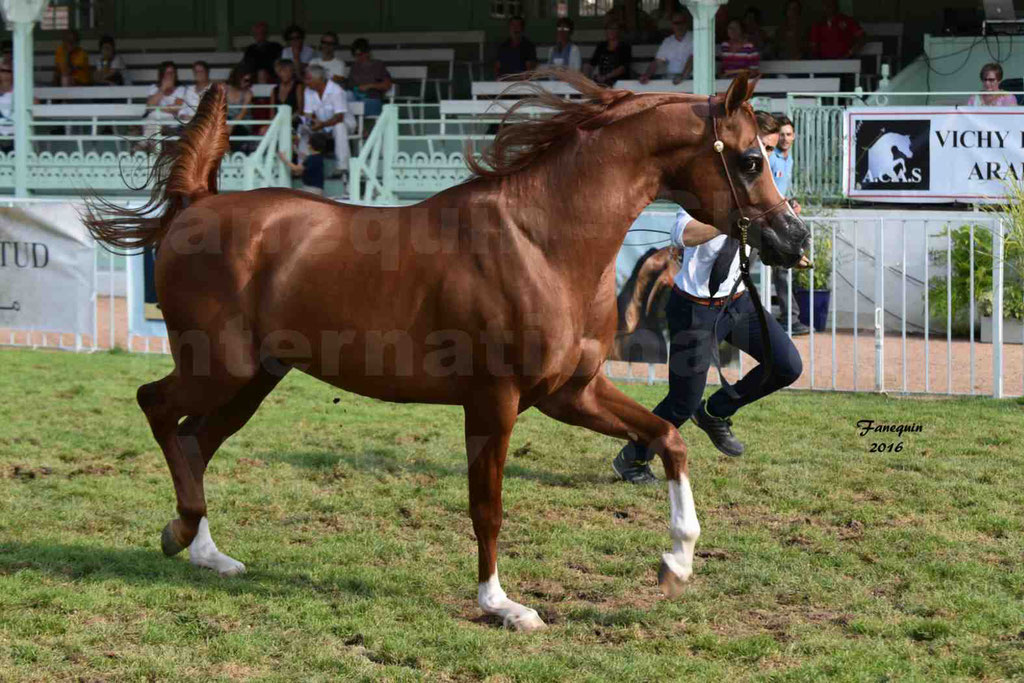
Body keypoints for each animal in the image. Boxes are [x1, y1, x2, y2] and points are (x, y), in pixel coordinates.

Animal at [88, 69, 806, 630]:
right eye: (749, 159)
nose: (793, 239)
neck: (542, 241)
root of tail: (194, 207)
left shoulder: (570, 392)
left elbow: (669, 437)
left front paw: (676, 563)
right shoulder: (494, 400)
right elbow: (487, 505)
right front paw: (502, 605)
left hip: (254, 380)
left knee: (195, 440)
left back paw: (206, 551)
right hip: (218, 365)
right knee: (157, 407)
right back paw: (182, 531)